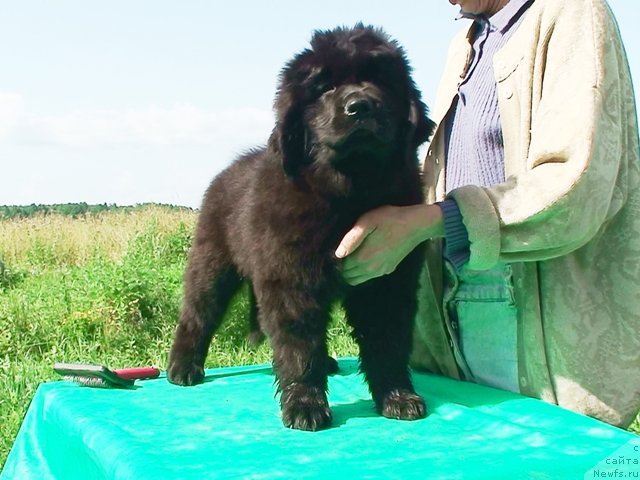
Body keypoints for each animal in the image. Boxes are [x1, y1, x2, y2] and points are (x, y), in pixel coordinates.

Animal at [168, 25, 436, 432]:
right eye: (325, 87)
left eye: (379, 80)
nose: (360, 106)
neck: (351, 191)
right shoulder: (291, 278)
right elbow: (299, 347)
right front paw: (305, 405)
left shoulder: (389, 277)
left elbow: (387, 341)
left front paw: (397, 396)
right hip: (212, 263)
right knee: (198, 314)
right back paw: (183, 368)